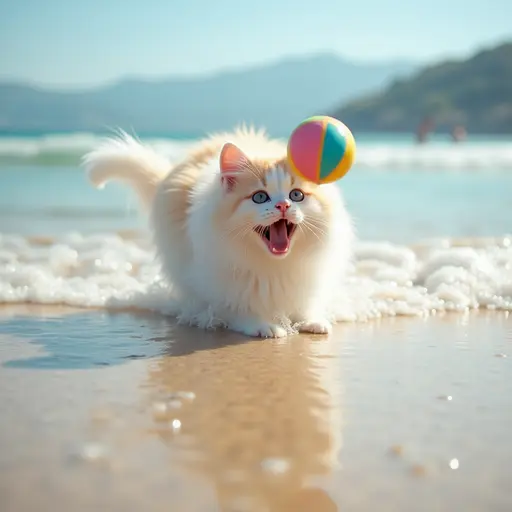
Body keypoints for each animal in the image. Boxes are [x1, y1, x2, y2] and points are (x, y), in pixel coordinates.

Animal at [84, 126, 356, 338]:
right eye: (260, 197)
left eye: (296, 195)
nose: (283, 205)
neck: (273, 264)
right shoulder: (222, 282)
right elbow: (240, 308)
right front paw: (263, 325)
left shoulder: (307, 277)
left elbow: (305, 305)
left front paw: (312, 320)